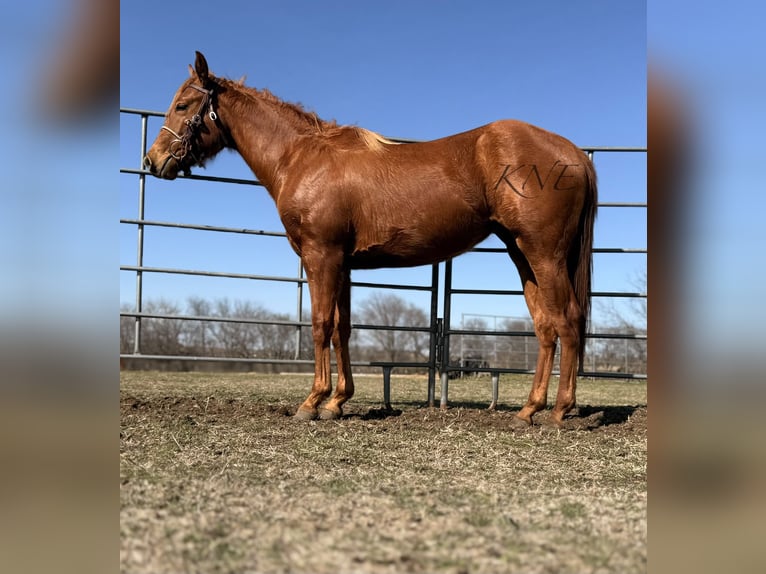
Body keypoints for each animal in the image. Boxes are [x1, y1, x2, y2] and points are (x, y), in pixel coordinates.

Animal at [144, 51, 597, 428]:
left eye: (183, 105)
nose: (152, 160)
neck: (304, 157)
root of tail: (573, 152)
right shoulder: (343, 263)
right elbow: (342, 328)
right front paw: (337, 401)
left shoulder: (321, 256)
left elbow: (320, 324)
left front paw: (312, 402)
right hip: (522, 254)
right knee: (545, 326)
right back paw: (529, 410)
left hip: (544, 254)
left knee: (568, 320)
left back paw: (558, 412)